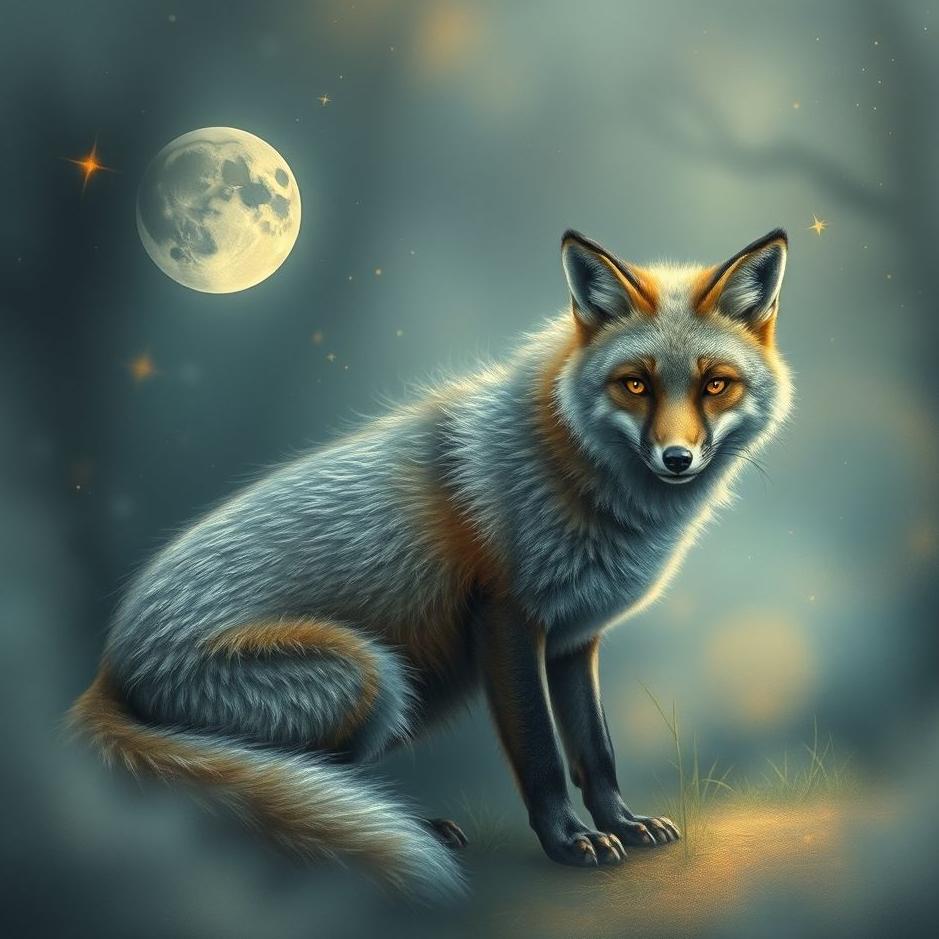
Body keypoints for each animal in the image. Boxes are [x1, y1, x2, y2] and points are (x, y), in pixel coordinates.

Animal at [71, 227, 792, 899]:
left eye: (715, 385)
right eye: (635, 384)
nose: (677, 458)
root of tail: (109, 662)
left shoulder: (574, 637)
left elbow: (596, 749)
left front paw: (622, 823)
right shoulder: (507, 620)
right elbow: (541, 756)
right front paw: (570, 842)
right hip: (369, 675)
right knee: (285, 778)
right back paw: (395, 827)